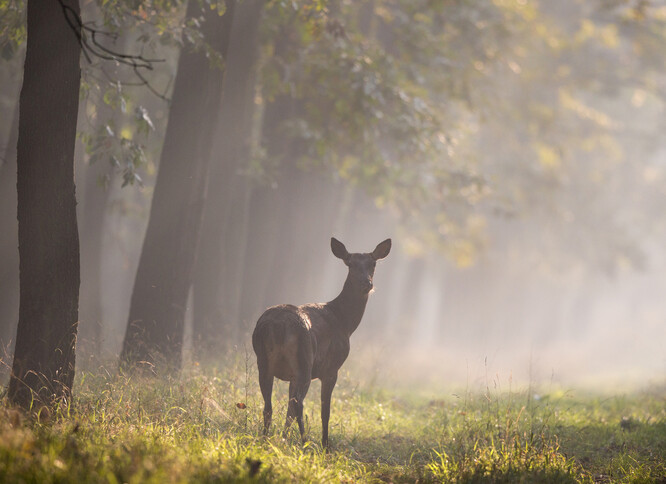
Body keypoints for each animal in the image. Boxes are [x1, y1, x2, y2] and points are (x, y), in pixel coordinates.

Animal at [252, 236, 392, 448]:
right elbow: (325, 411)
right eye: (350, 264)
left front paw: (283, 438)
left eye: (373, 263)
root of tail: (276, 326)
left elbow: (288, 411)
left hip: (263, 362)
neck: (345, 322)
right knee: (298, 404)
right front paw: (326, 445)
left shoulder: (292, 376)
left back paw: (265, 439)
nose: (366, 283)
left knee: (270, 406)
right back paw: (305, 442)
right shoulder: (331, 368)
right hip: (305, 362)